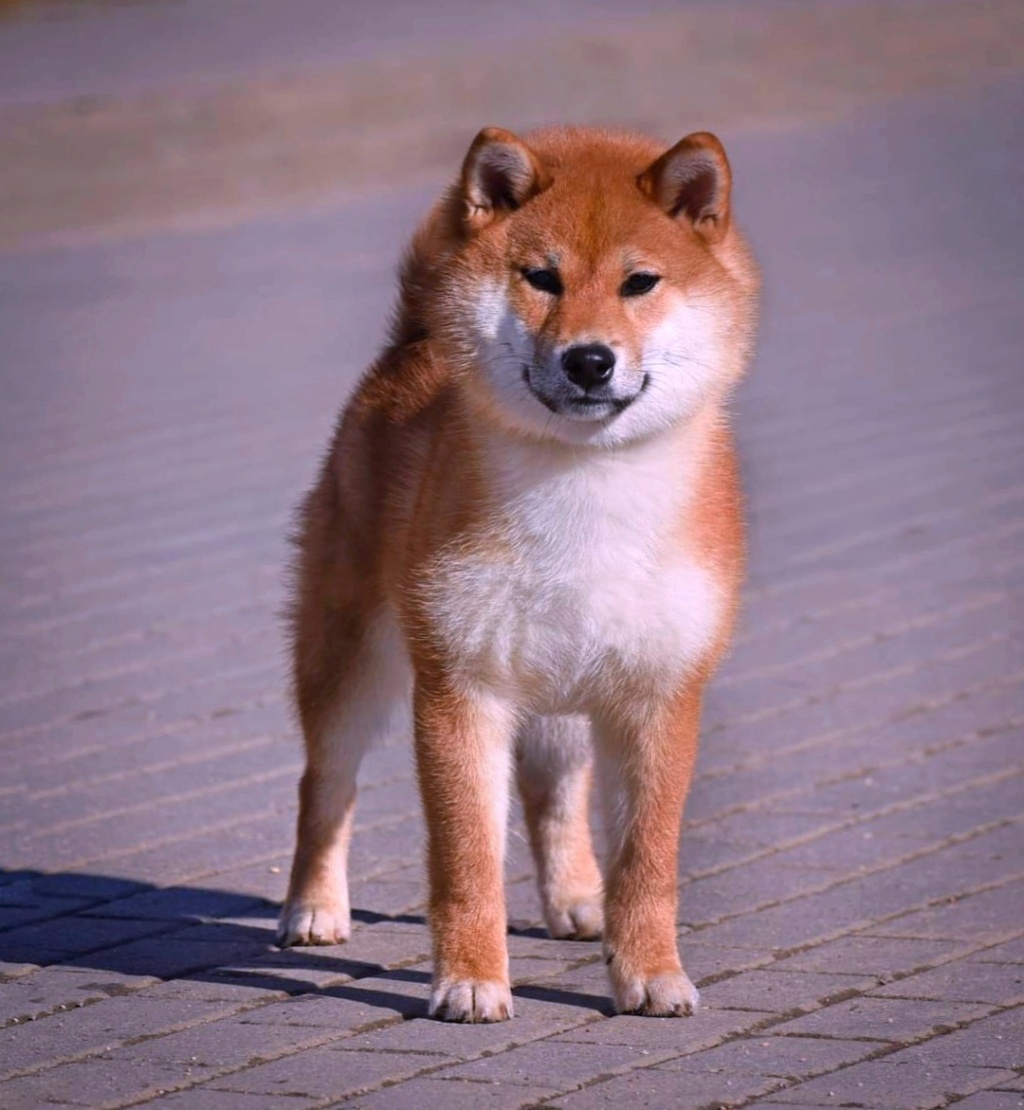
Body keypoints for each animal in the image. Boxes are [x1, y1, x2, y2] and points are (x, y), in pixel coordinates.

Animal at [276, 123, 758, 1021]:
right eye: (542, 278)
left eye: (640, 282)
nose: (589, 360)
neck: (587, 494)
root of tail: (411, 345)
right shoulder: (460, 689)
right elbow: (467, 863)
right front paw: (470, 979)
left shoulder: (659, 693)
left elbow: (649, 863)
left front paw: (648, 973)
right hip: (351, 659)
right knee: (324, 786)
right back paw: (314, 908)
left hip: (563, 690)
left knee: (553, 797)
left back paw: (577, 899)